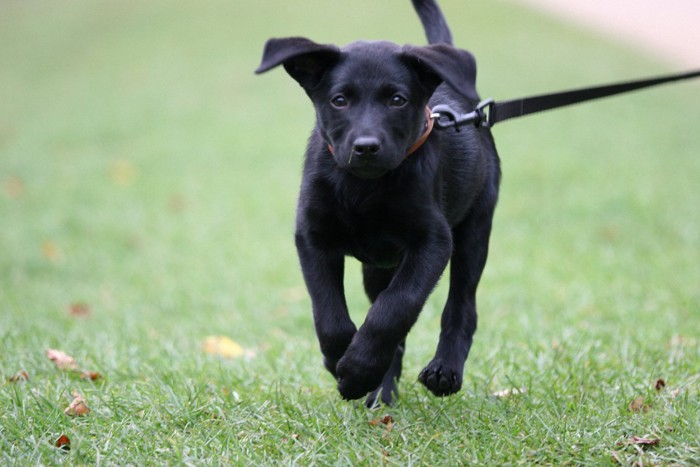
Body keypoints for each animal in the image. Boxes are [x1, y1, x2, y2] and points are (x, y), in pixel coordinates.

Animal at [254, 0, 500, 406]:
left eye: (397, 100)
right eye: (339, 100)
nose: (366, 147)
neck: (364, 188)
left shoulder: (433, 242)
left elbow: (396, 307)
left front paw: (357, 369)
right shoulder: (312, 236)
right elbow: (329, 313)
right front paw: (342, 360)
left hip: (475, 228)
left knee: (461, 306)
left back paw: (443, 369)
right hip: (377, 268)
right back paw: (381, 391)